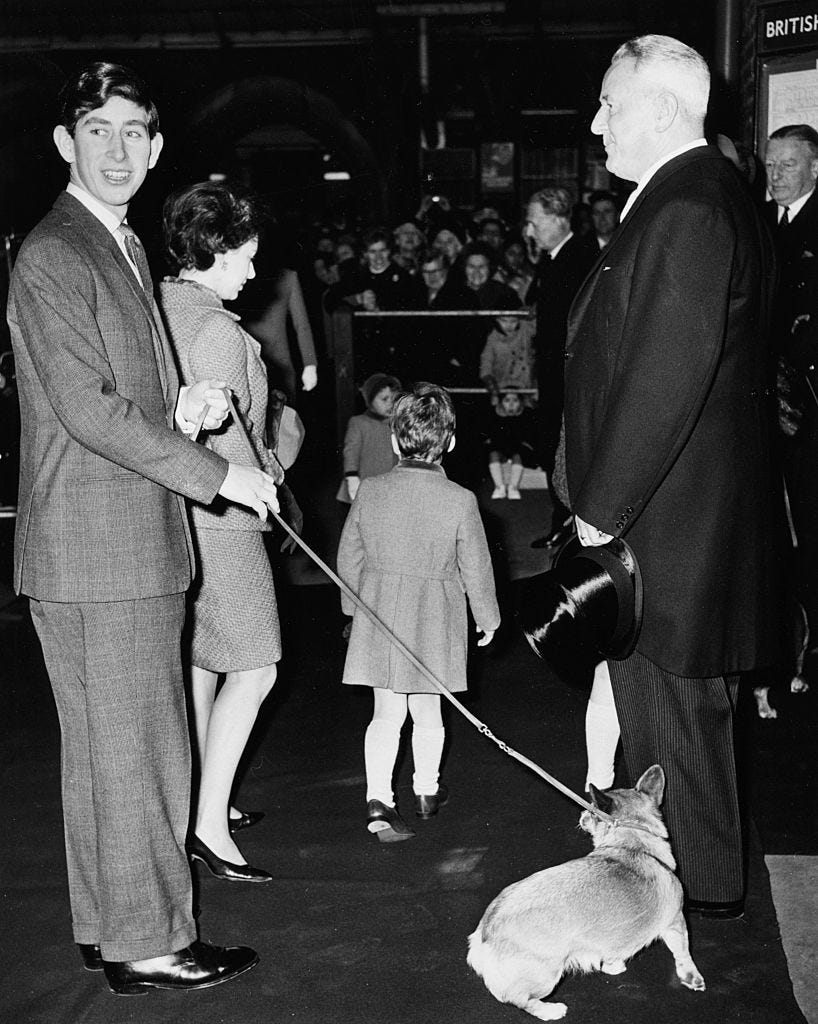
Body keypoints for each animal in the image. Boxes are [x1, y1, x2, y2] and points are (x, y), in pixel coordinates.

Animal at [466, 765, 704, 1019]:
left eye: (591, 809)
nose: (582, 813)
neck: (632, 840)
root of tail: (485, 933)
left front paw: (612, 966)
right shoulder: (675, 922)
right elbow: (683, 952)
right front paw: (692, 978)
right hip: (547, 975)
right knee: (521, 1000)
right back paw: (551, 1011)